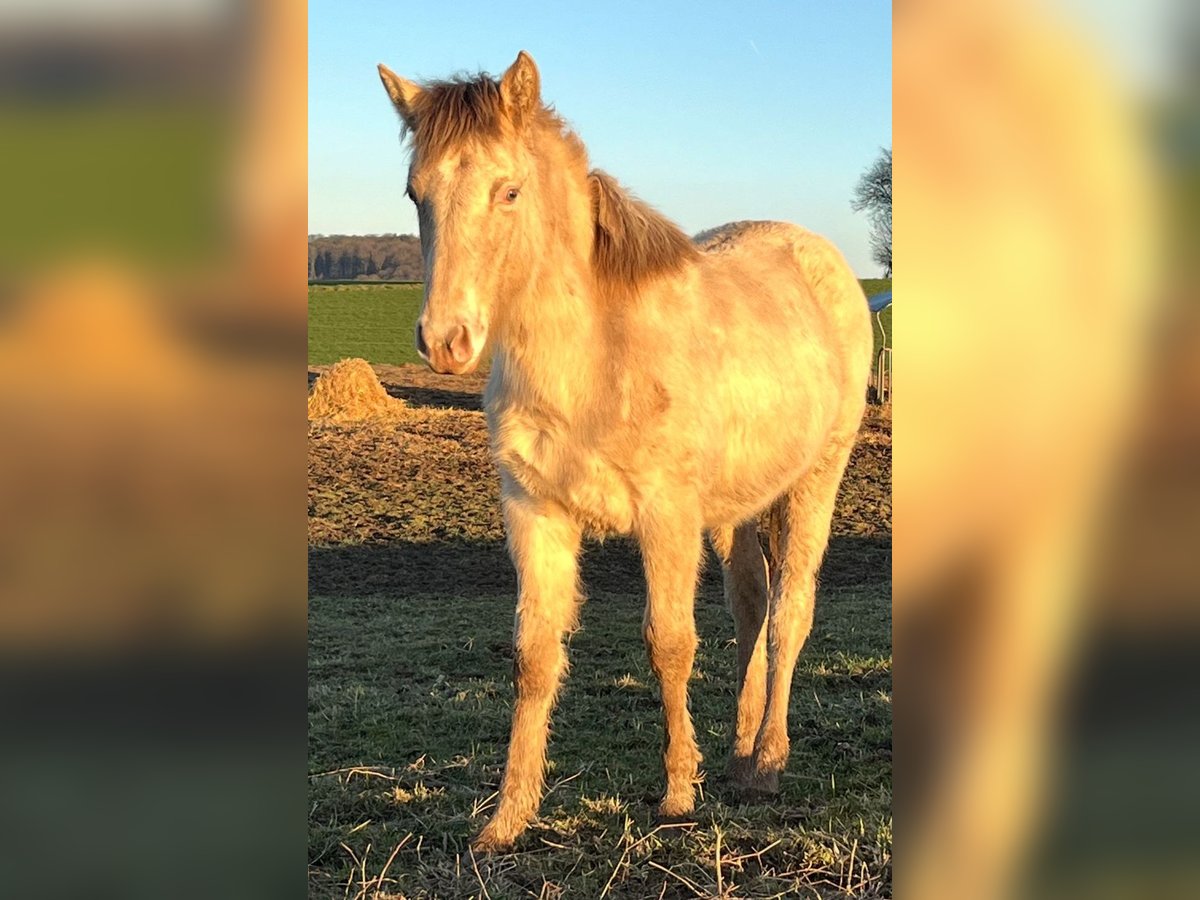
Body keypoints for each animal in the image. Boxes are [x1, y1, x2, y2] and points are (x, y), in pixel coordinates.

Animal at [379, 49, 868, 854]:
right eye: (415, 193)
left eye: (508, 191)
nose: (446, 341)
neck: (593, 359)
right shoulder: (535, 513)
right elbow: (535, 655)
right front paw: (506, 820)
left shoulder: (666, 517)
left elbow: (668, 641)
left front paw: (675, 793)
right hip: (735, 504)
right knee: (751, 603)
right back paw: (738, 756)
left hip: (814, 482)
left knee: (789, 611)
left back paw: (768, 761)